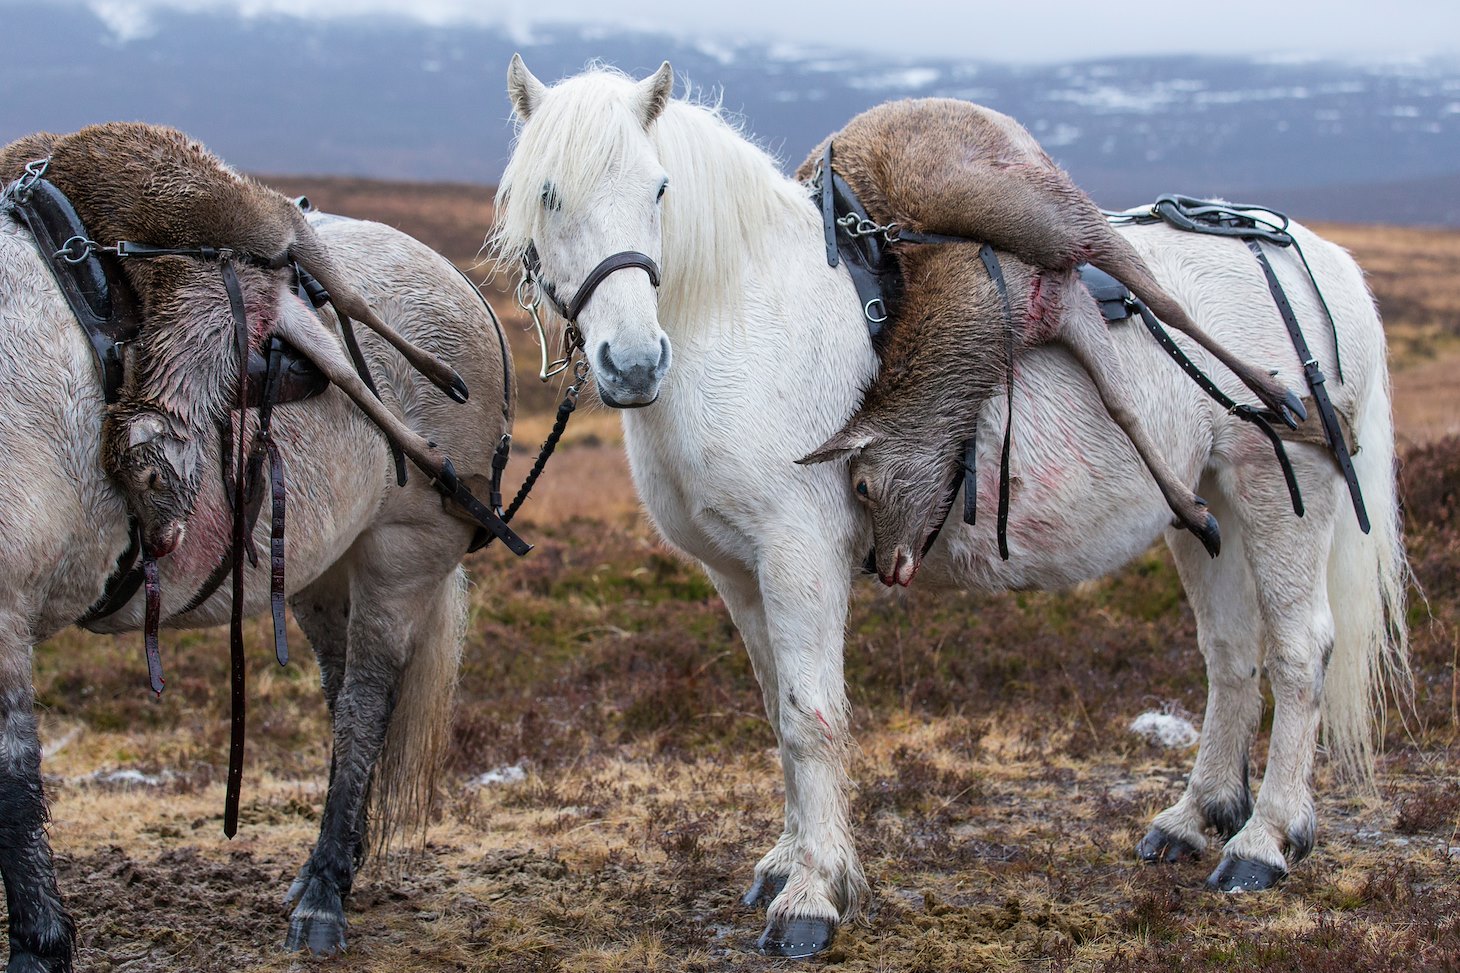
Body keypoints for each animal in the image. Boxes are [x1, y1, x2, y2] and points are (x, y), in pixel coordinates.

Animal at [0, 207, 512, 970]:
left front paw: (37, 945)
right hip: (319, 570)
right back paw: (331, 869)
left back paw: (324, 894)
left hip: (401, 553)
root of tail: (459, 281)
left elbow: (13, 783)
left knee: (364, 705)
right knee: (343, 691)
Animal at [494, 58, 1408, 958]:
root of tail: (1326, 259)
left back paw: (1266, 840)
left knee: (1299, 651)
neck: (746, 316)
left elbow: (810, 718)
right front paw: (789, 862)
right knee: (1230, 654)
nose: (633, 364)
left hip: (1276, 489)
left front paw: (813, 895)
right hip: (1205, 508)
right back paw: (1195, 818)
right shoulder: (738, 573)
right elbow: (778, 712)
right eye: (547, 194)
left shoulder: (798, 555)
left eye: (658, 188)